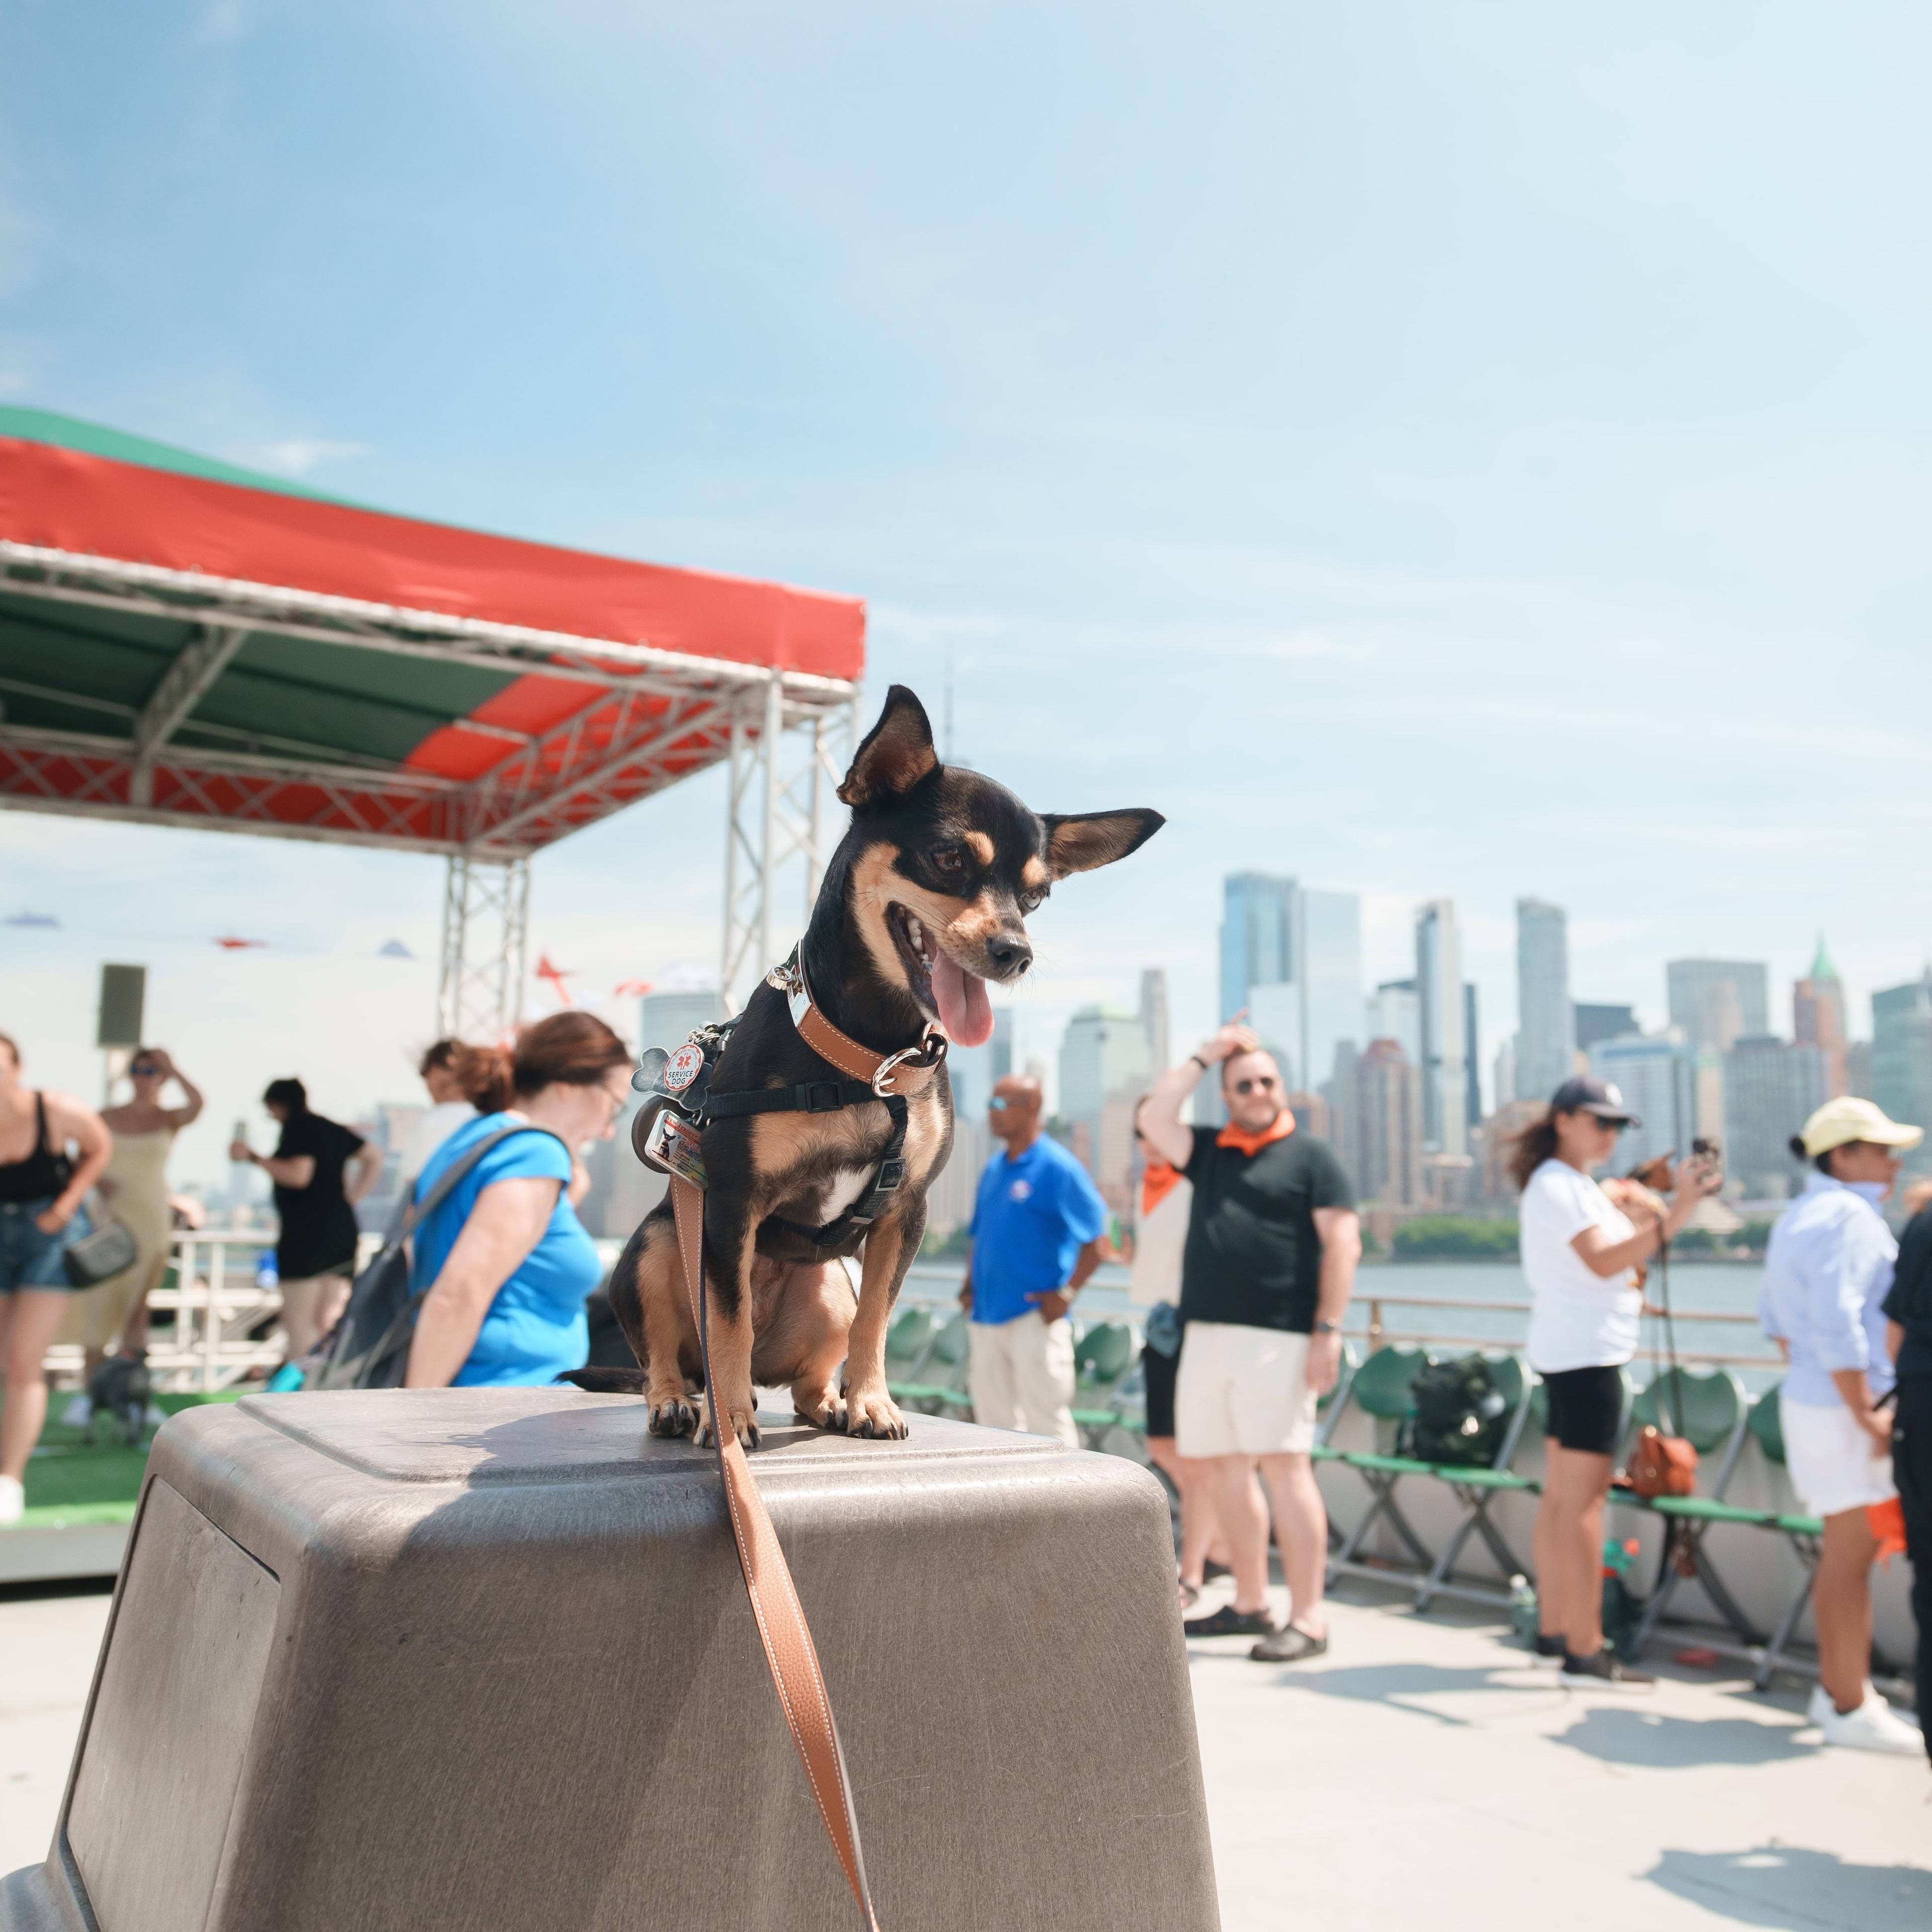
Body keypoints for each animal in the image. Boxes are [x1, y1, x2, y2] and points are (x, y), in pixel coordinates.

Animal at [568, 684, 1161, 1449]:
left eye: (1037, 896)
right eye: (948, 859)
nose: (1017, 952)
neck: (872, 1054)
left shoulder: (906, 1212)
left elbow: (877, 1320)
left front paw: (873, 1402)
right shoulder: (729, 1205)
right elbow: (725, 1320)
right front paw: (730, 1426)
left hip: (829, 1286)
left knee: (808, 1374)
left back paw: (827, 1403)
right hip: (658, 1243)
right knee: (670, 1356)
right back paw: (685, 1402)